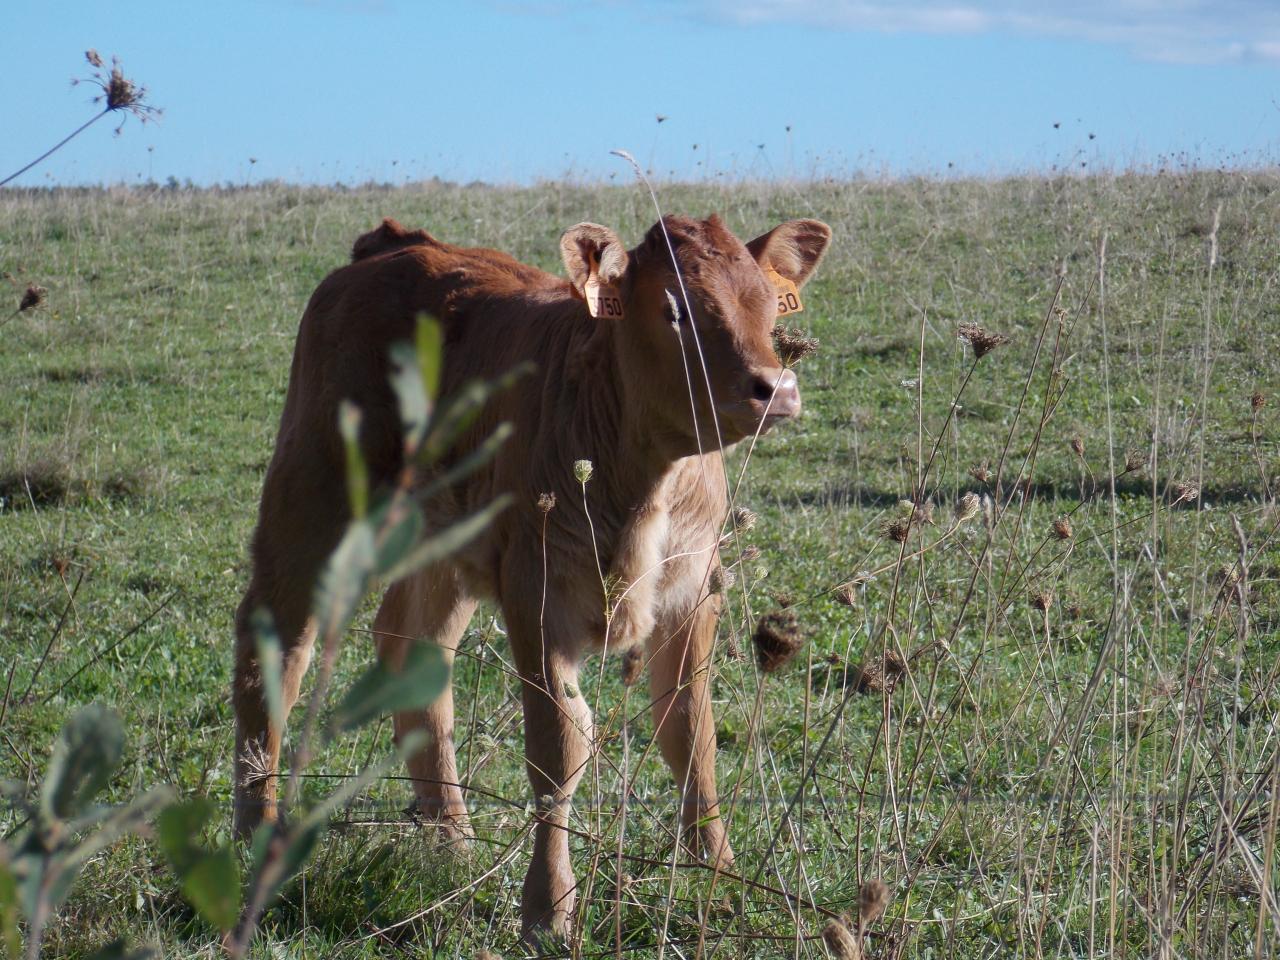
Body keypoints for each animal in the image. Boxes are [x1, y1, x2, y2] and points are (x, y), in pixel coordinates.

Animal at [230, 209, 829, 942]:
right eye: (675, 310)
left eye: (770, 306)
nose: (775, 389)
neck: (642, 478)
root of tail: (396, 244)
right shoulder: (538, 593)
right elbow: (560, 747)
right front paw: (548, 909)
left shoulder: (693, 591)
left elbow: (692, 734)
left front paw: (718, 875)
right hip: (312, 495)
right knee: (277, 646)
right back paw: (259, 832)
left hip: (446, 540)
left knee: (415, 650)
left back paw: (450, 840)